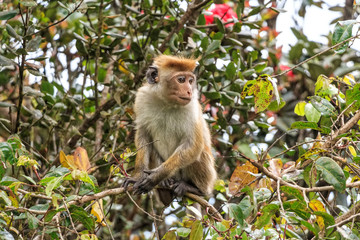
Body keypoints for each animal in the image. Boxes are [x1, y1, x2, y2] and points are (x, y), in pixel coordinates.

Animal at [123, 54, 217, 204]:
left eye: (190, 80)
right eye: (181, 80)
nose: (189, 91)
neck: (167, 102)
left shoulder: (192, 108)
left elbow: (193, 145)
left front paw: (158, 175)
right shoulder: (142, 98)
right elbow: (143, 135)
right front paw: (138, 176)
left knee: (200, 152)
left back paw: (195, 189)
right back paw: (165, 185)